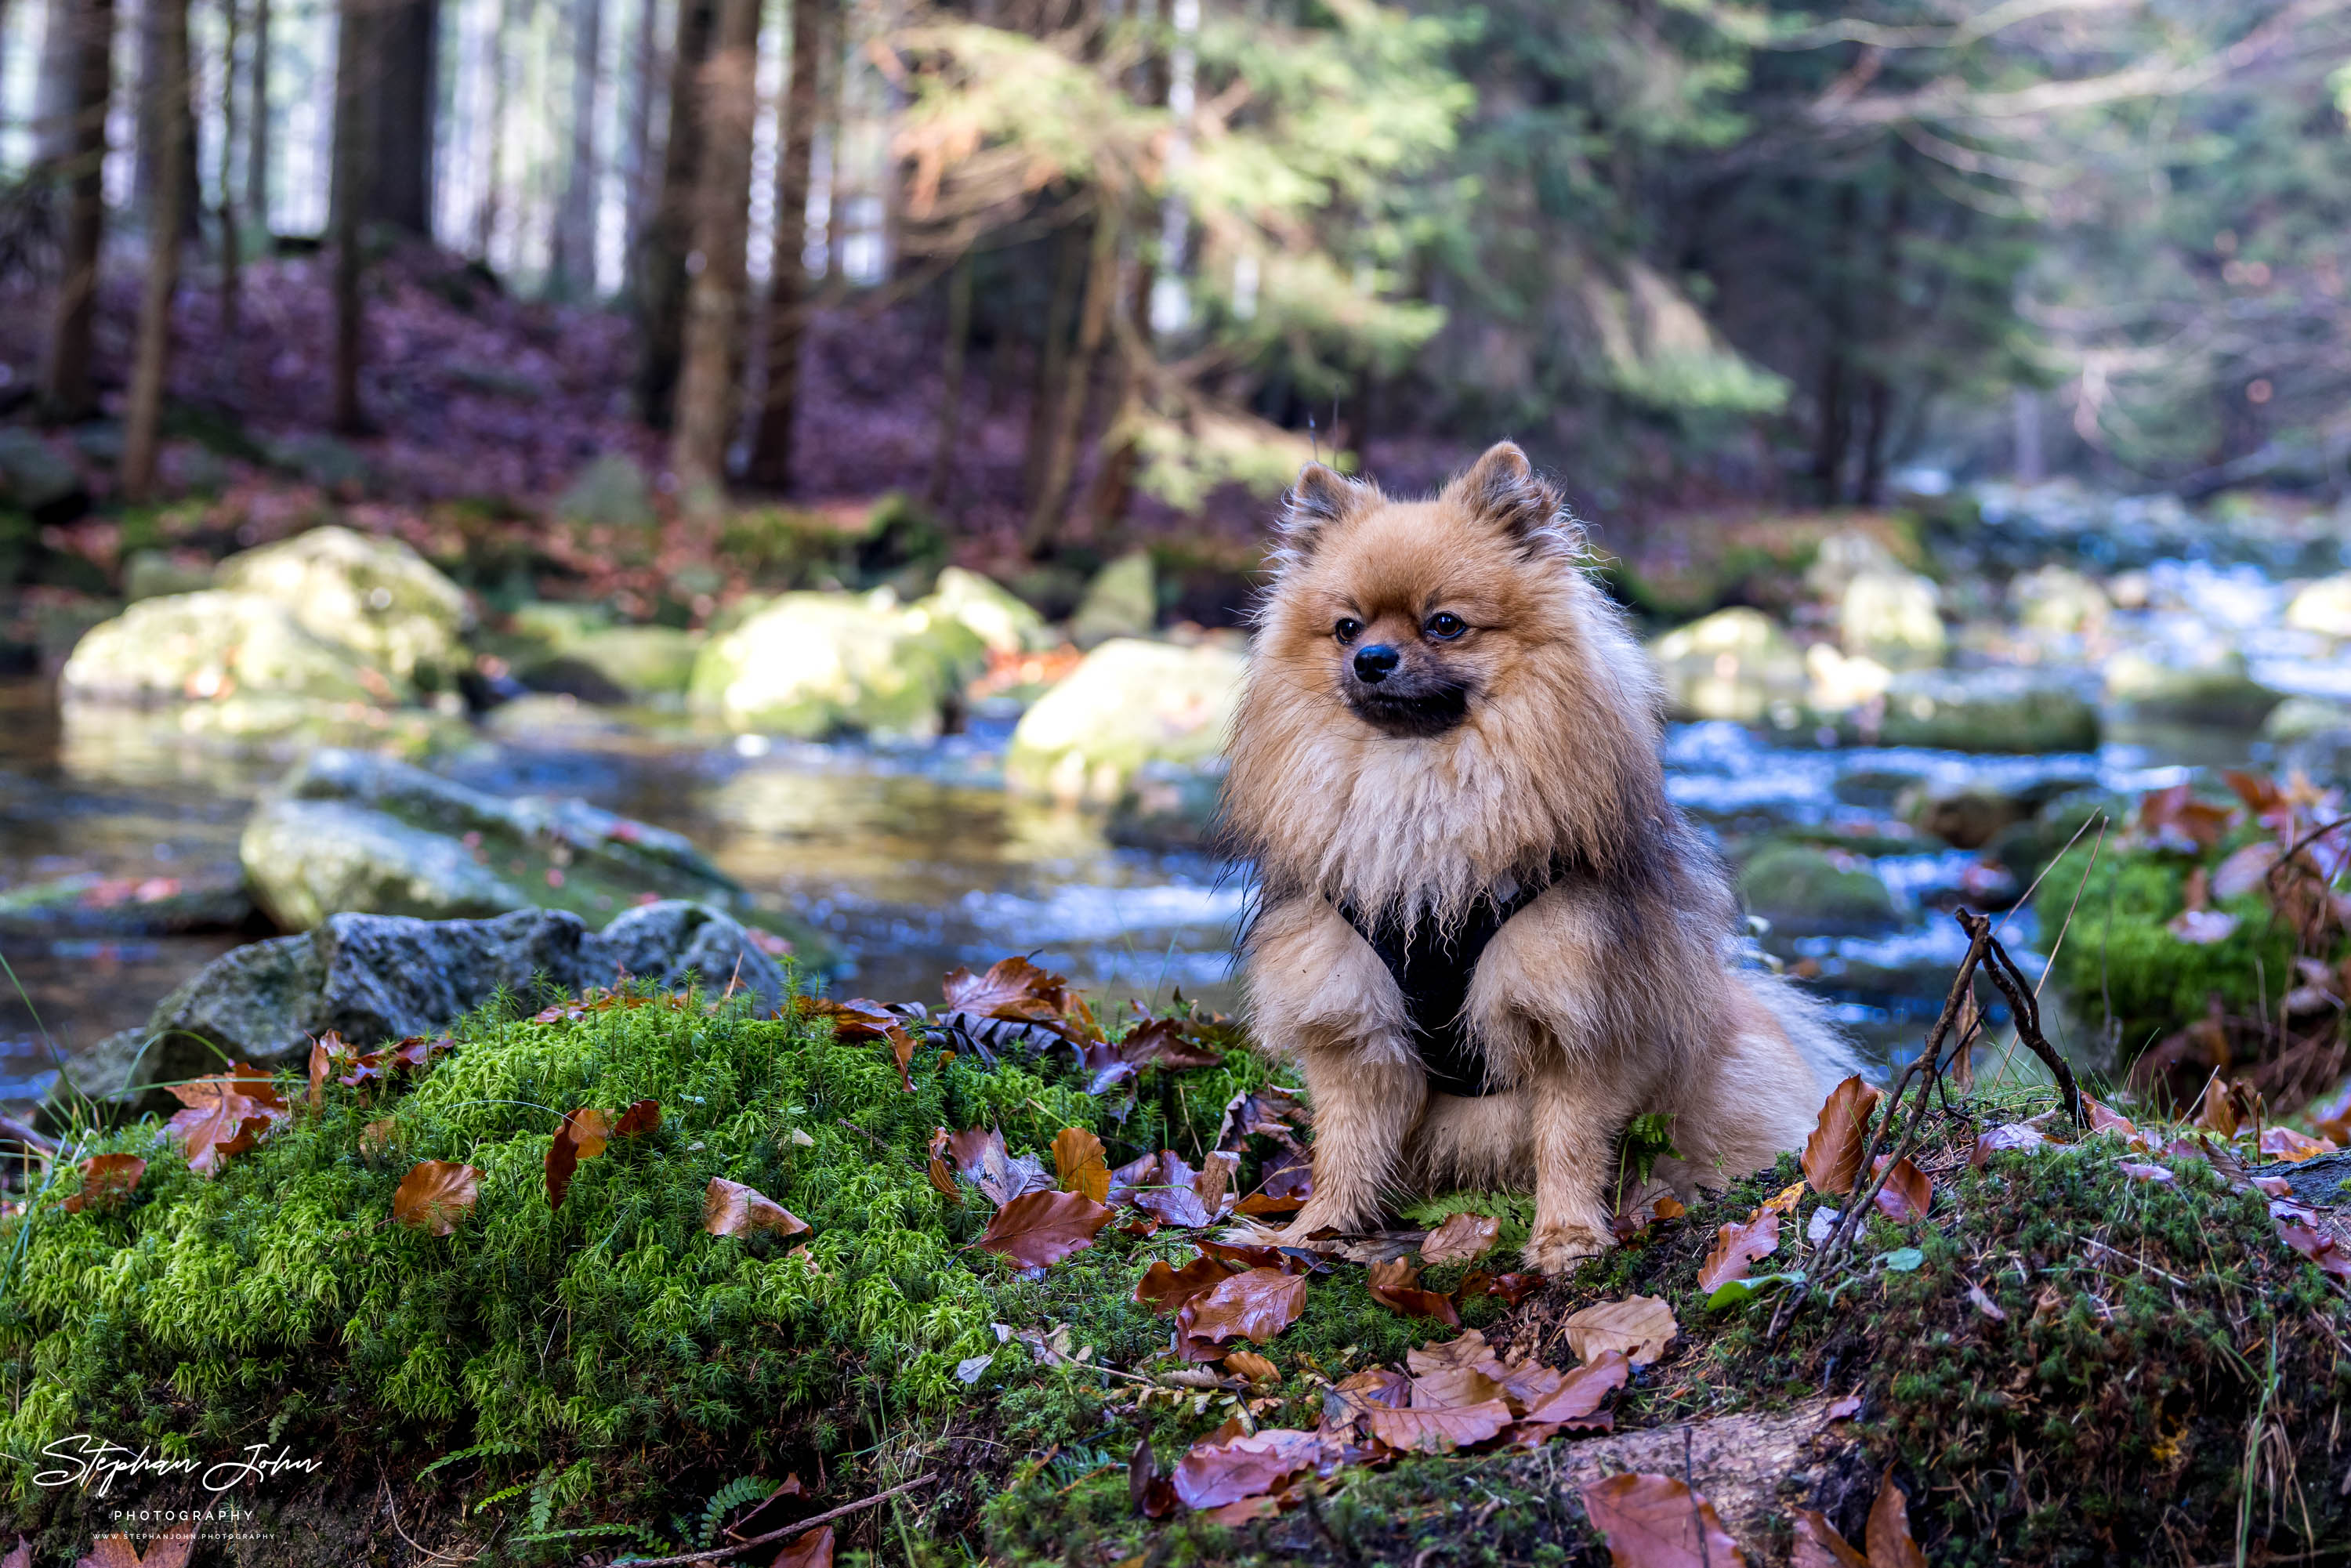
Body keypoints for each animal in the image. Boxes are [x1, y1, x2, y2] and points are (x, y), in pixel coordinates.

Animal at [1223, 440, 1843, 1279]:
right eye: (1346, 627)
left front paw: (1567, 1238)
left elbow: (1570, 1140)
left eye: (1445, 624)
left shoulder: (1576, 1009)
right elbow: (1345, 1145)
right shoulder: (1355, 1017)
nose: (1373, 657)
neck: (1420, 791)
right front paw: (1314, 1232)